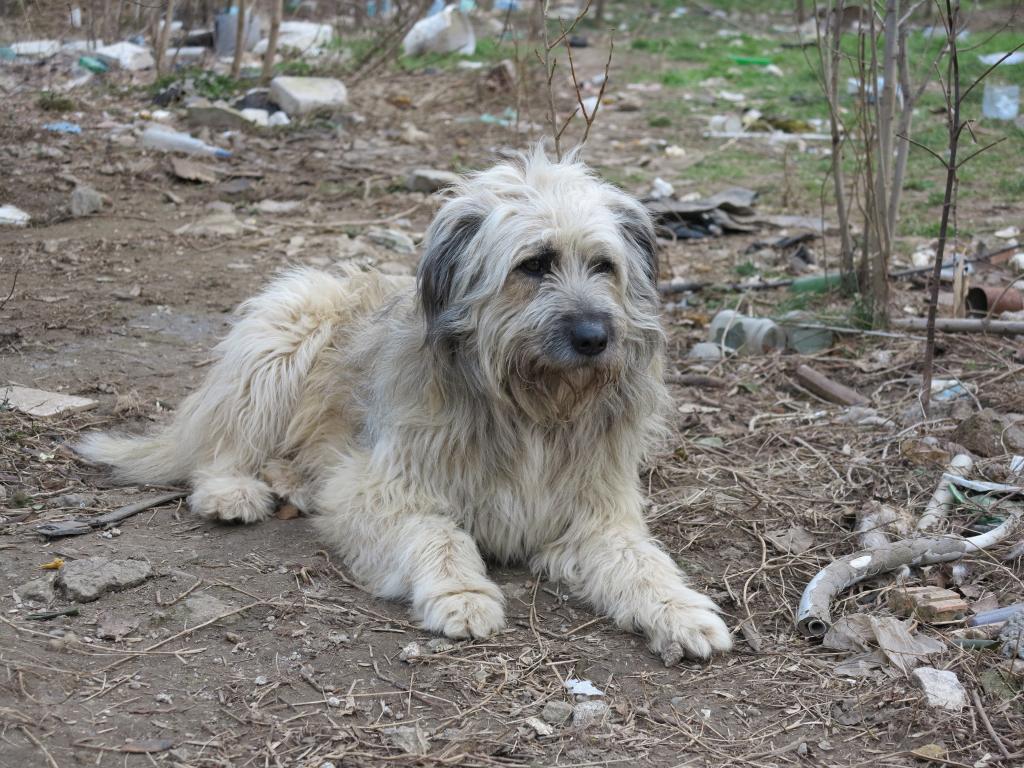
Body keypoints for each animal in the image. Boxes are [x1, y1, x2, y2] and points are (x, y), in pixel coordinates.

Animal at [83, 148, 733, 663]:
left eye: (604, 265)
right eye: (534, 264)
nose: (596, 337)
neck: (530, 407)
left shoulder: (595, 513)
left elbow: (640, 560)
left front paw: (679, 610)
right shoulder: (377, 489)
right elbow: (437, 532)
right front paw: (462, 594)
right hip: (287, 328)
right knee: (224, 442)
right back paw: (231, 490)